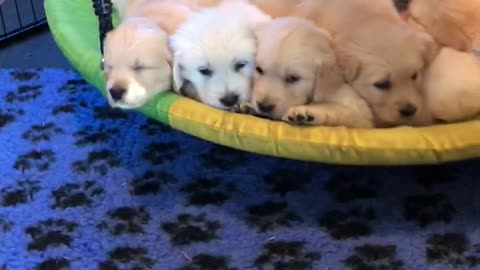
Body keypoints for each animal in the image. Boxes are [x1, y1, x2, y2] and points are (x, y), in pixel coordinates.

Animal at [234, 17, 374, 129]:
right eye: (259, 69)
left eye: (293, 78)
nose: (264, 106)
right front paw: (249, 106)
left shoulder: (363, 117)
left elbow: (337, 109)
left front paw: (307, 112)